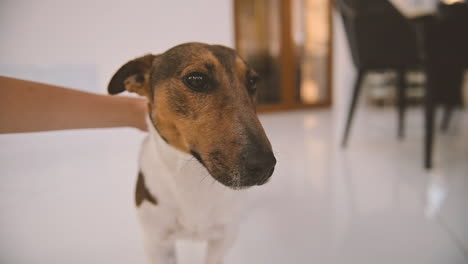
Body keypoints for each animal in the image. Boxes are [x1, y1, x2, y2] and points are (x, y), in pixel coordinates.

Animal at [108, 42, 276, 264]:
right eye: (196, 79)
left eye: (252, 82)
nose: (265, 165)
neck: (192, 175)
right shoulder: (157, 244)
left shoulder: (223, 238)